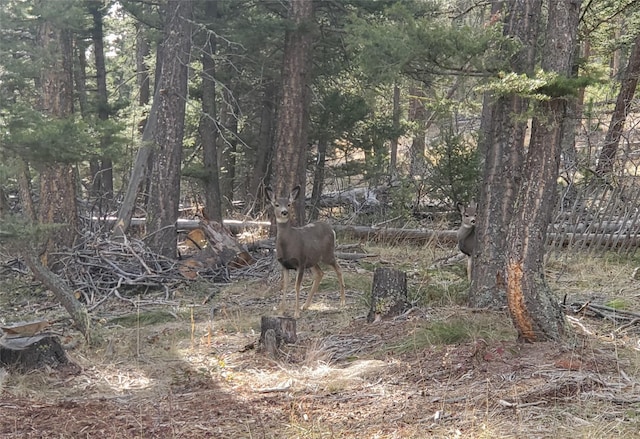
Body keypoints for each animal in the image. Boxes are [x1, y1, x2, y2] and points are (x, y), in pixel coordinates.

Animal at [264, 184, 344, 318]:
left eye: (289, 204)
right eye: (276, 204)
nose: (284, 212)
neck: (287, 245)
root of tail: (332, 229)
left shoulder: (300, 262)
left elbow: (297, 286)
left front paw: (296, 313)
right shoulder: (284, 265)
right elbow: (284, 286)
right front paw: (281, 311)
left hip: (327, 254)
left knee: (338, 268)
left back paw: (343, 302)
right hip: (312, 259)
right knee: (320, 273)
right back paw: (305, 305)